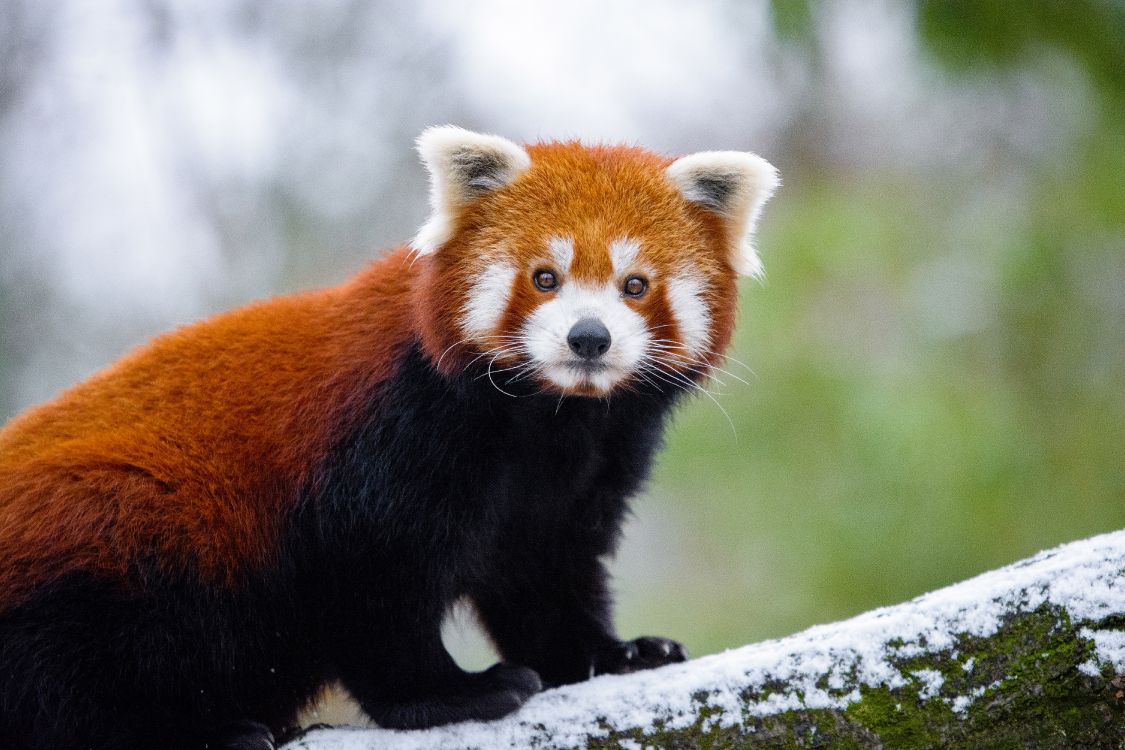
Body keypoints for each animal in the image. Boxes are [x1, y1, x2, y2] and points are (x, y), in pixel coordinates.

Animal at [0, 129, 778, 750]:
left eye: (635, 285)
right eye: (544, 278)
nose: (589, 338)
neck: (548, 418)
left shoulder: (582, 467)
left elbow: (543, 568)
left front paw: (610, 655)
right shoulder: (389, 435)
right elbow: (375, 584)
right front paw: (449, 694)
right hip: (104, 531)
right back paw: (197, 730)